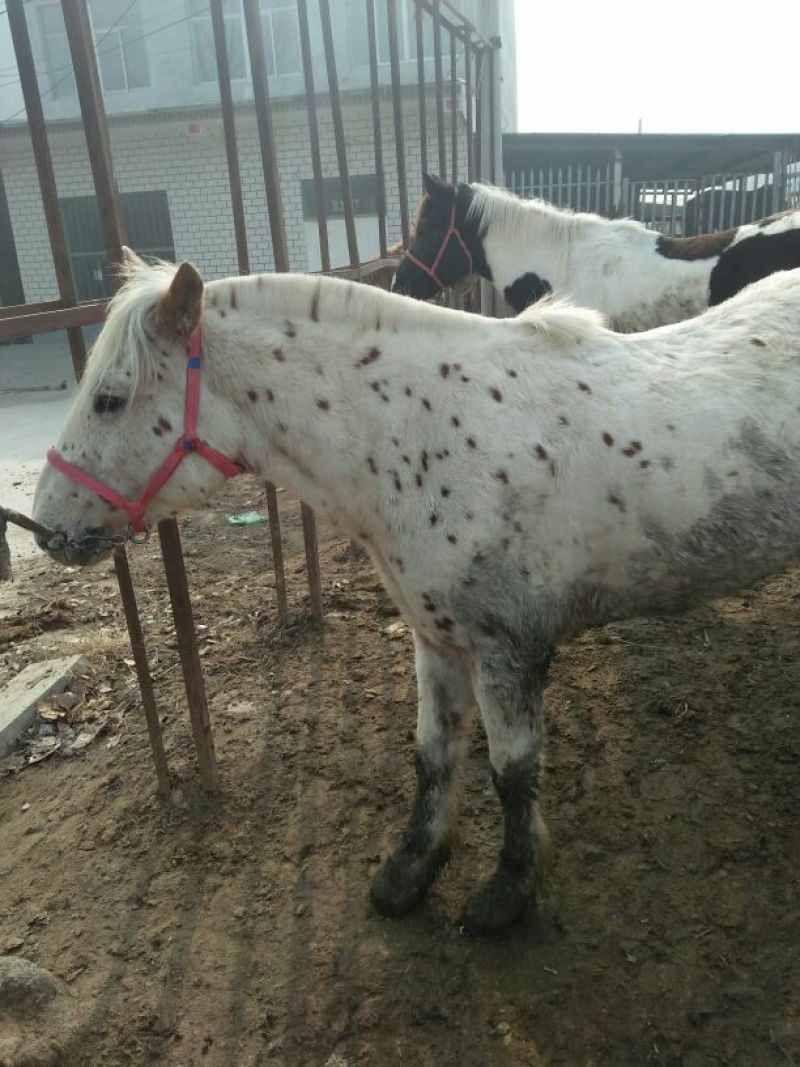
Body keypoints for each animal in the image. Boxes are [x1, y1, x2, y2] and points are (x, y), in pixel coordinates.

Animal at [33, 250, 800, 936]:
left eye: (110, 398)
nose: (45, 527)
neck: (425, 430)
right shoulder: (436, 639)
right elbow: (433, 756)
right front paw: (410, 872)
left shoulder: (507, 649)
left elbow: (512, 771)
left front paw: (507, 893)